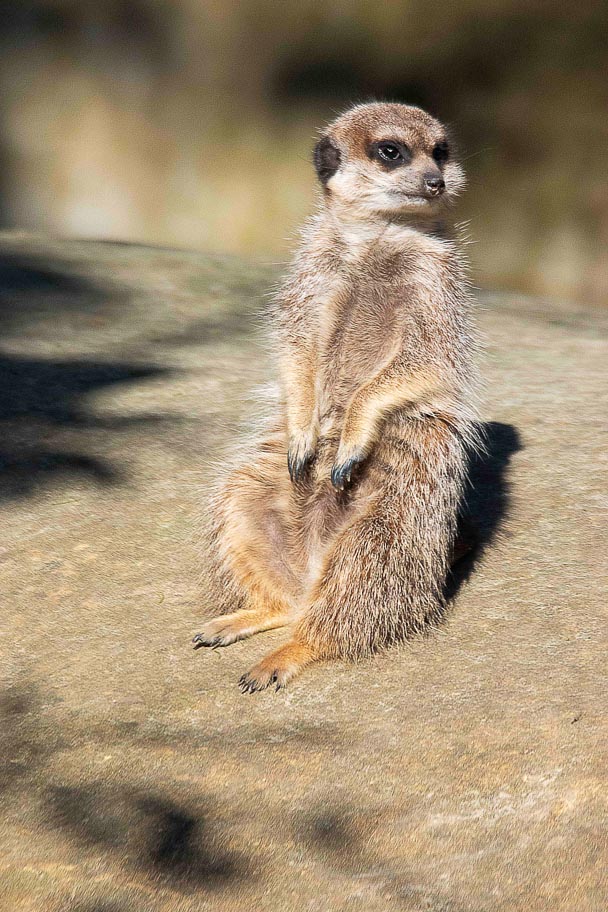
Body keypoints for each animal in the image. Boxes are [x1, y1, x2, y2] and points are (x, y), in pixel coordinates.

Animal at [193, 102, 481, 692]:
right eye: (391, 151)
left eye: (441, 151)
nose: (436, 181)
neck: (377, 241)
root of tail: (311, 566)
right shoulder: (312, 271)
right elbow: (296, 342)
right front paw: (307, 433)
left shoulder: (438, 286)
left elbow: (425, 357)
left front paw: (351, 432)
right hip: (254, 489)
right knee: (249, 526)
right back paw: (252, 614)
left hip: (399, 511)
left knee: (363, 579)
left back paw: (291, 651)